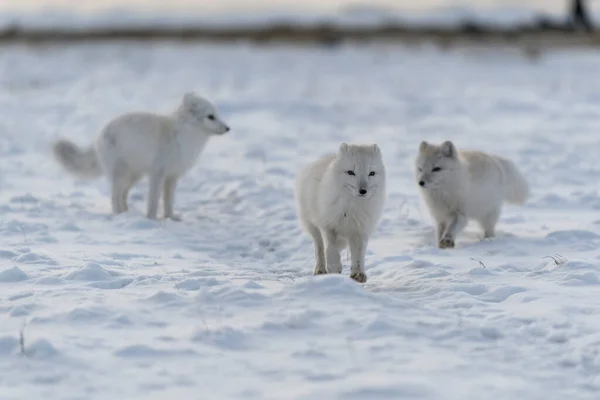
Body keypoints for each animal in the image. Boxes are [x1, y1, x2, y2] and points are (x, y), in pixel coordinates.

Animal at [52, 92, 230, 220]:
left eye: (217, 114)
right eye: (210, 116)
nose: (228, 128)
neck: (185, 136)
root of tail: (98, 137)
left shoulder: (172, 176)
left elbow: (169, 202)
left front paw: (171, 218)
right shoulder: (157, 174)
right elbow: (154, 200)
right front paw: (152, 219)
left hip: (134, 176)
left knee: (123, 195)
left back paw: (126, 213)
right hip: (120, 174)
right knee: (114, 197)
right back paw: (119, 215)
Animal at [296, 142, 390, 282]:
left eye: (371, 173)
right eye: (351, 172)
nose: (363, 191)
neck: (351, 207)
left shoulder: (360, 230)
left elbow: (359, 254)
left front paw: (358, 274)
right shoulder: (328, 226)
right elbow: (330, 250)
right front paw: (334, 268)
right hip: (312, 225)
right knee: (319, 248)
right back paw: (320, 269)